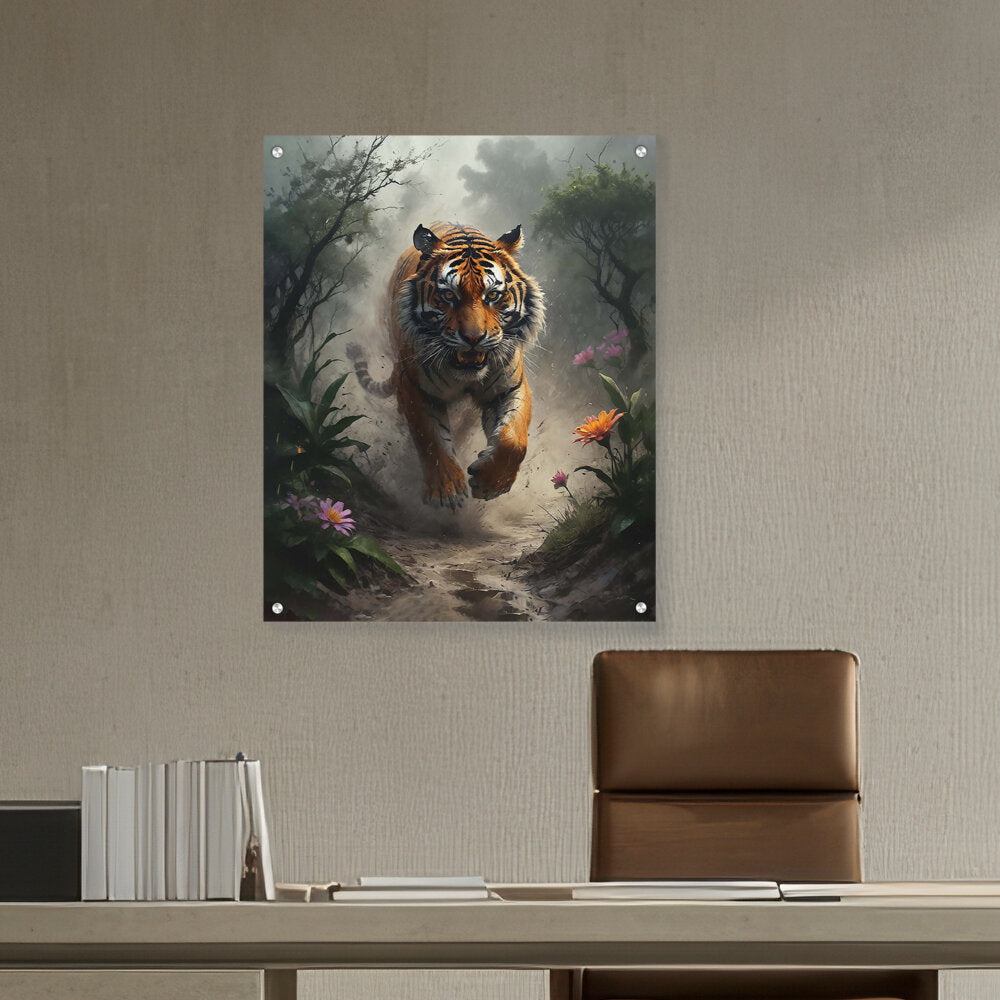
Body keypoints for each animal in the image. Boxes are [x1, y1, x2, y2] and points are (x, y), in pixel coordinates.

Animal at [348, 222, 544, 510]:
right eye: (449, 295)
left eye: (493, 295)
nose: (474, 338)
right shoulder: (415, 387)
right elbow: (429, 437)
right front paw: (446, 490)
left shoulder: (509, 387)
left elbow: (514, 440)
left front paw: (491, 483)